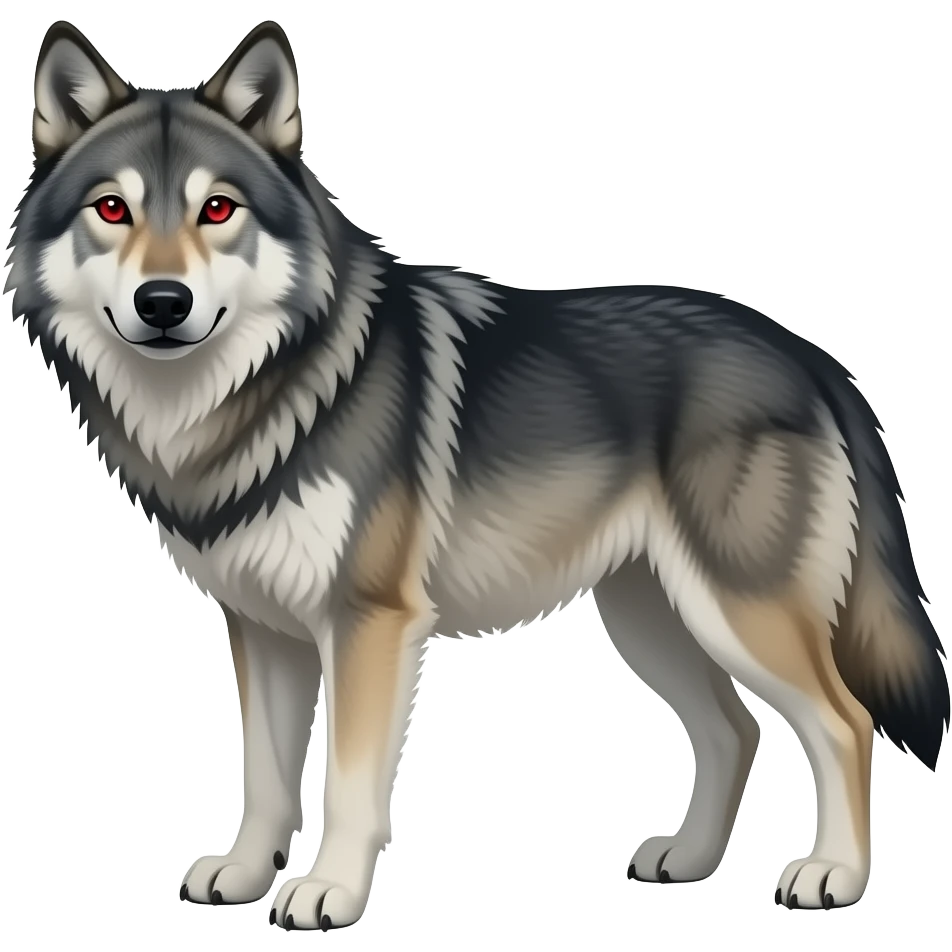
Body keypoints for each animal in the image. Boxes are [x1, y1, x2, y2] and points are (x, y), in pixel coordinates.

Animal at [5, 17, 948, 930]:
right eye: (113, 208)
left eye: (218, 208)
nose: (164, 303)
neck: (258, 393)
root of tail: (808, 355)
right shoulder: (263, 626)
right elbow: (266, 775)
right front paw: (242, 875)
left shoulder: (368, 622)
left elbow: (348, 783)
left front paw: (328, 893)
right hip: (651, 616)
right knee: (733, 730)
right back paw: (687, 861)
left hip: (737, 613)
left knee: (845, 722)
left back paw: (833, 876)